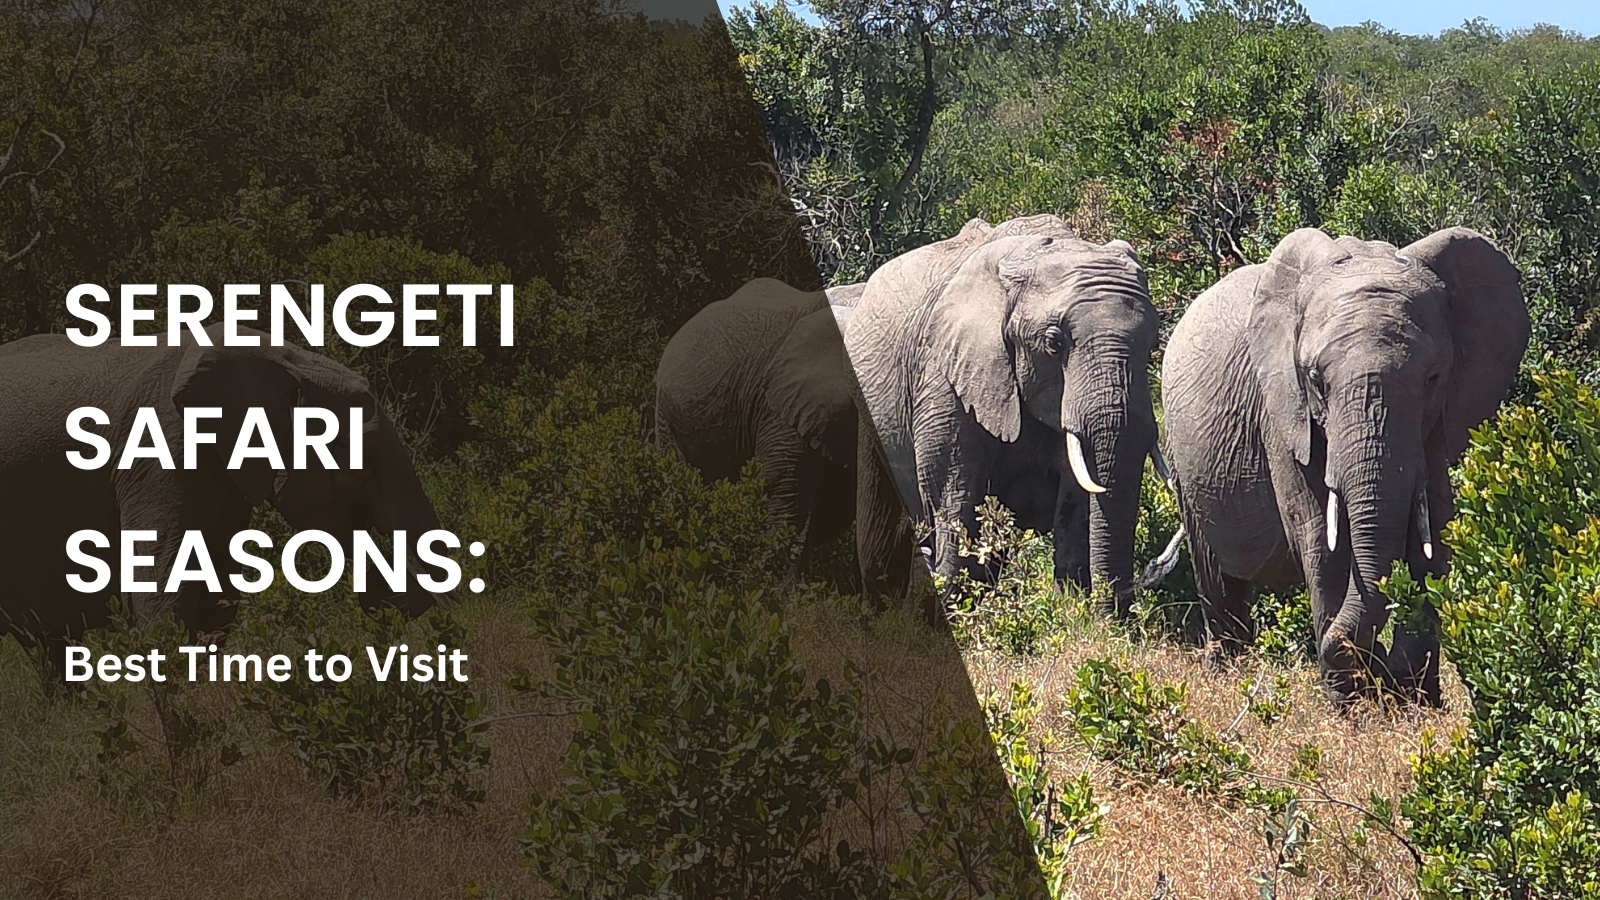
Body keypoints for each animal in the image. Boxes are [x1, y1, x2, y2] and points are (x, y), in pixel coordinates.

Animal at [0, 323, 448, 680]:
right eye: (360, 458)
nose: (374, 597)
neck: (277, 359)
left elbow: (216, 592)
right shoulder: (157, 455)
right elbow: (160, 592)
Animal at [844, 214, 1163, 612]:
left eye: (1154, 343)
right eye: (1054, 342)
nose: (1116, 617)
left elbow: (1075, 497)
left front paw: (1071, 607)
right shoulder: (946, 375)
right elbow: (954, 489)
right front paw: (950, 607)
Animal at [1161, 227, 1529, 706]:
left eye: (1432, 378)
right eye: (1316, 380)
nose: (1380, 665)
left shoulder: (1435, 426)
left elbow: (1433, 533)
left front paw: (1415, 698)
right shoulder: (1283, 412)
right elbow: (1321, 538)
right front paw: (1349, 702)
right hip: (1184, 461)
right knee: (1217, 576)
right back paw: (1226, 672)